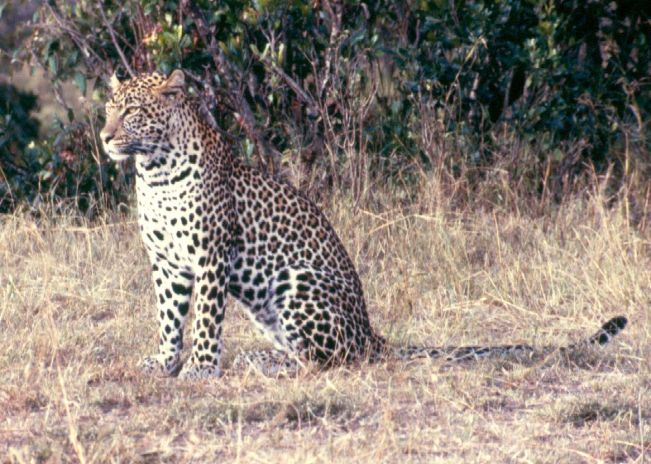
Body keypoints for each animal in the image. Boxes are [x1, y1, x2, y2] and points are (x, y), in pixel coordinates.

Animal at [100, 70, 627, 379]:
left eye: (132, 111)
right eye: (108, 109)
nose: (104, 136)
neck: (155, 170)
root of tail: (372, 332)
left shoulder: (211, 256)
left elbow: (206, 318)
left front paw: (200, 368)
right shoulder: (166, 262)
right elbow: (169, 318)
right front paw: (164, 362)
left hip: (296, 281)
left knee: (326, 360)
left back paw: (259, 362)